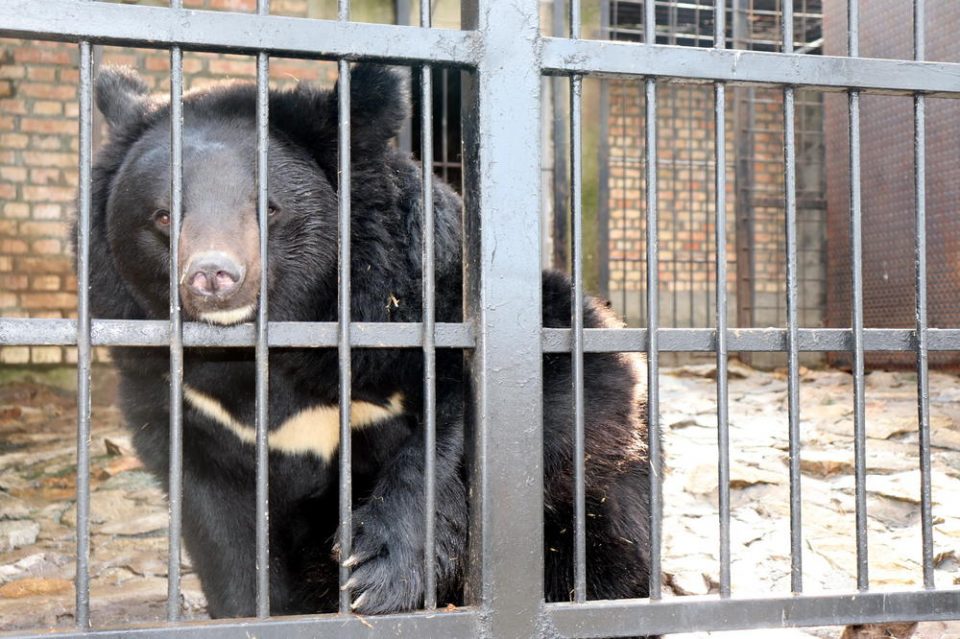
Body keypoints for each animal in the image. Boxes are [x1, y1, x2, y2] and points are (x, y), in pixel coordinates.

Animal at [86, 63, 652, 620]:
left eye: (267, 209)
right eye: (163, 215)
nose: (212, 276)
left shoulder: (424, 305)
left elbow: (477, 419)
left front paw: (374, 572)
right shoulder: (182, 403)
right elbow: (223, 530)